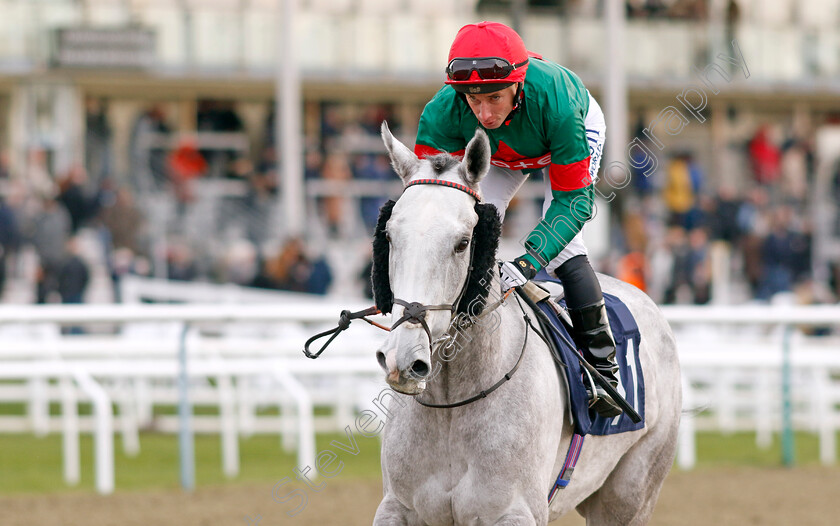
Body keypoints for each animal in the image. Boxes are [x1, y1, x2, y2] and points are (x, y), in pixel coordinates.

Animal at [374, 121, 684, 524]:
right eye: (390, 235)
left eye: (462, 243)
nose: (404, 358)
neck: (452, 403)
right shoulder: (398, 507)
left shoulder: (515, 511)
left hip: (630, 495)